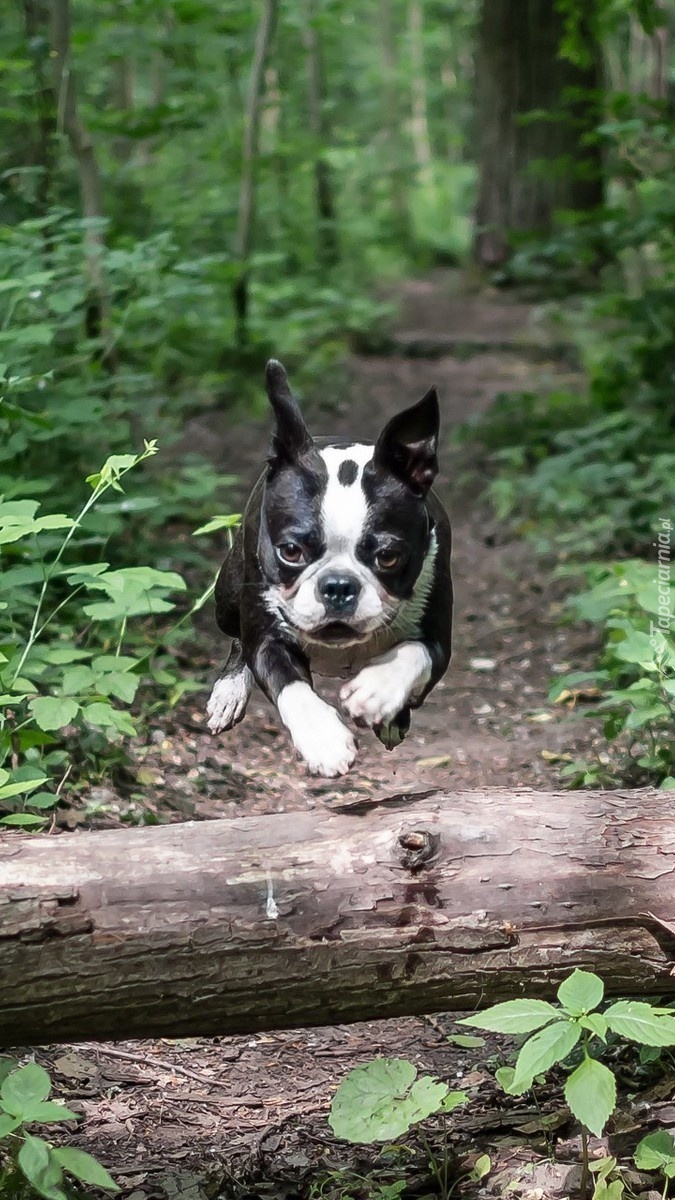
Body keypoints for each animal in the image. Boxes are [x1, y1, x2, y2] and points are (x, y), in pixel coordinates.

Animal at [201, 357, 449, 777]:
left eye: (388, 557)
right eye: (291, 551)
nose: (338, 586)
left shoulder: (439, 639)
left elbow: (414, 652)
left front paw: (378, 691)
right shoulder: (266, 636)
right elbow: (289, 684)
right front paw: (324, 740)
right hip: (228, 597)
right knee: (238, 640)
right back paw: (230, 690)